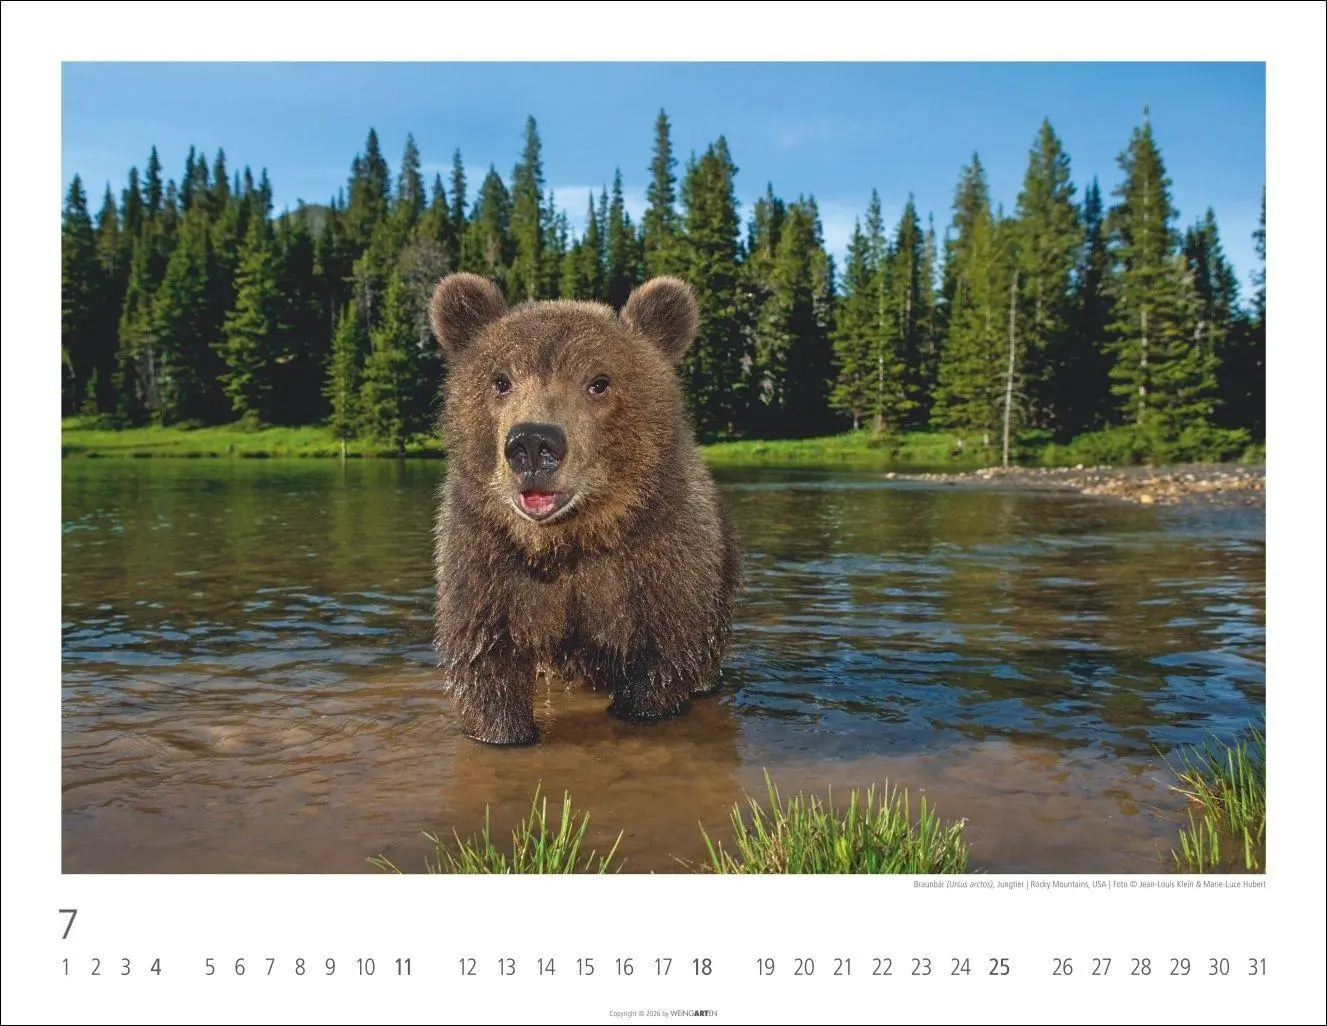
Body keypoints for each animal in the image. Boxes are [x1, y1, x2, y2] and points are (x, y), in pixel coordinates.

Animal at [426, 272, 743, 746]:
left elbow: (662, 665)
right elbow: (485, 667)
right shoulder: (486, 562)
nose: (532, 443)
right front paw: (503, 730)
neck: (570, 538)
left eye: (599, 381)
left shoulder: (662, 564)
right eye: (500, 380)